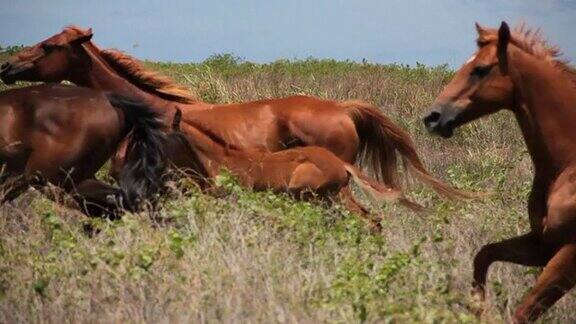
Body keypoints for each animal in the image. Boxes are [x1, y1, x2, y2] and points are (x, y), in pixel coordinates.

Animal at [420, 22, 576, 322]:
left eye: (480, 69)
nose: (432, 117)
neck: (566, 167)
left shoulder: (569, 254)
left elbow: (524, 311)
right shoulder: (541, 244)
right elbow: (484, 254)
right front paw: (477, 307)